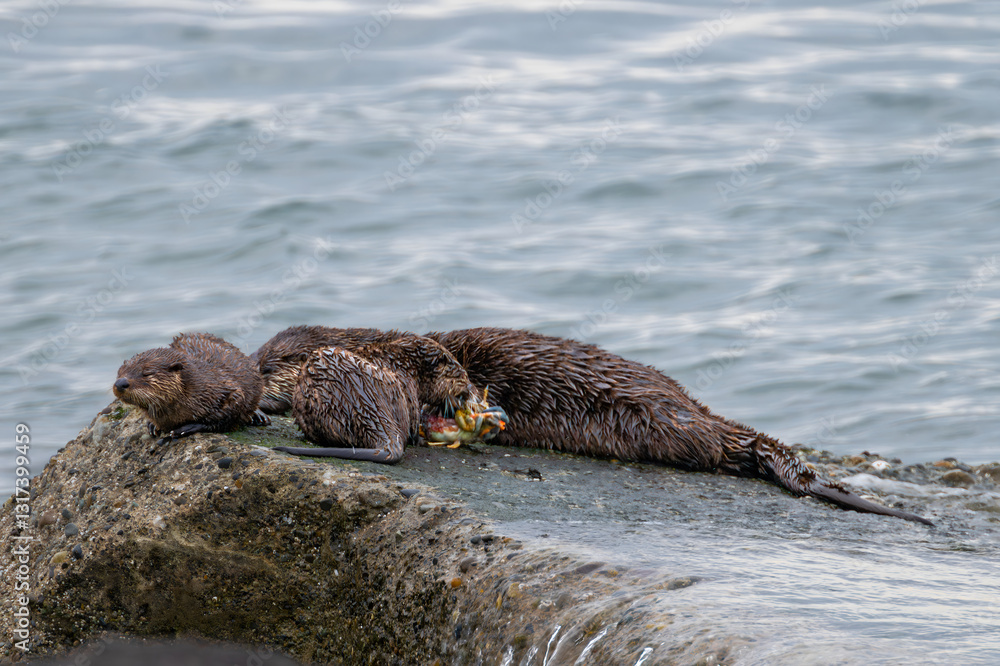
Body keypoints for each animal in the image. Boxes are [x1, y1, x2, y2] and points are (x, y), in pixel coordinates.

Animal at [113, 332, 270, 439]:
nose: (120, 383)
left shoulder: (230, 392)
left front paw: (186, 428)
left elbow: (226, 417)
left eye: (147, 373)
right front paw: (152, 425)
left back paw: (260, 416)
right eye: (120, 371)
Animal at [273, 334, 504, 463]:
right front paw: (422, 437)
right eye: (464, 378)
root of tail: (358, 398)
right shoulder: (411, 393)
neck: (407, 366)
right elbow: (413, 429)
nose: (474, 392)